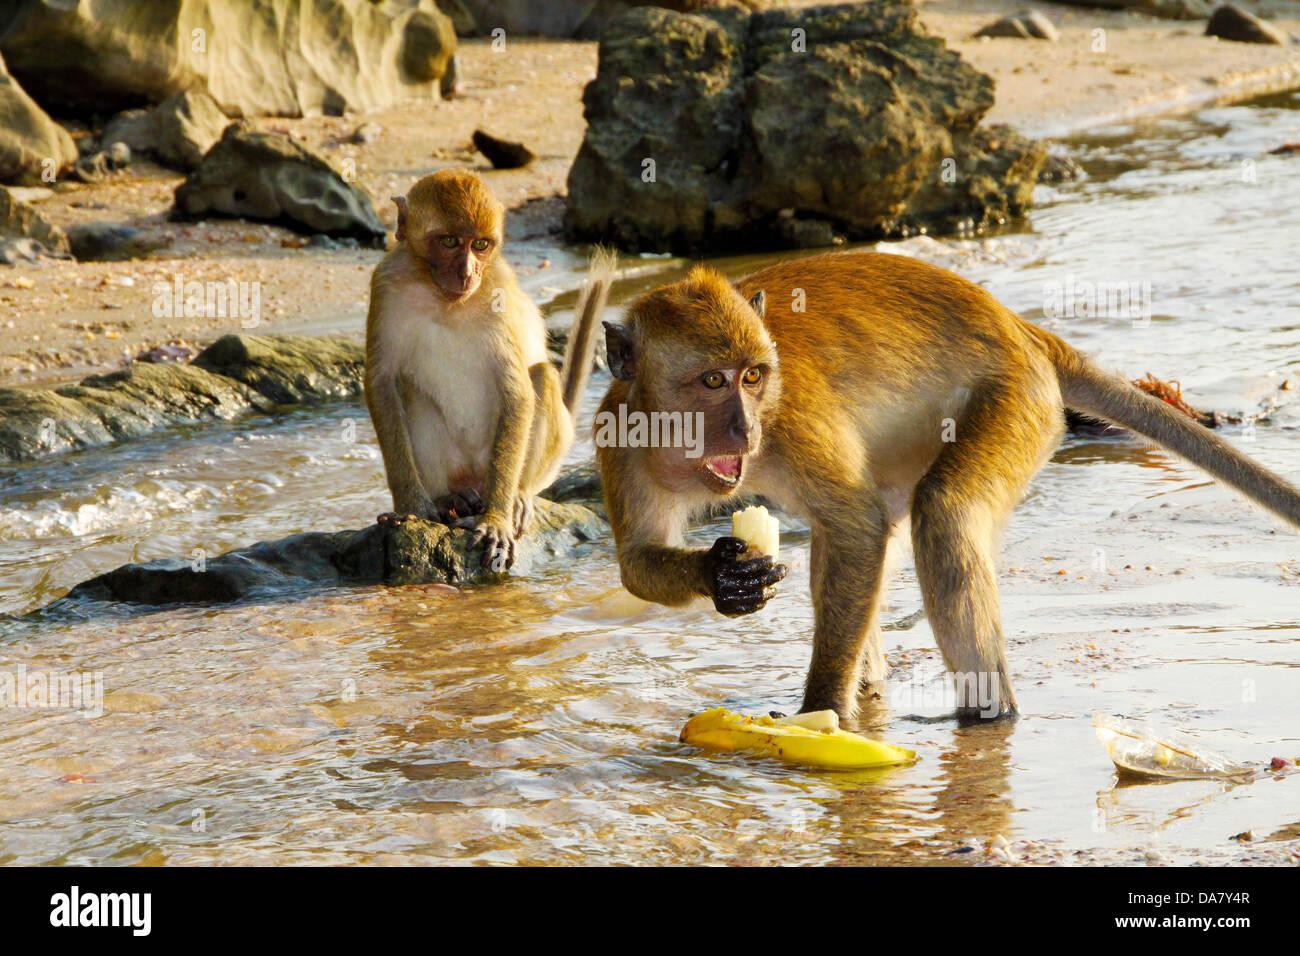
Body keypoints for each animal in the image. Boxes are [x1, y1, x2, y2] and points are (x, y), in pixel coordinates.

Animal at [361, 167, 613, 567]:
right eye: (449, 241)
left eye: (480, 244)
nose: (467, 274)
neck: (445, 299)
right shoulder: (385, 282)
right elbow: (382, 381)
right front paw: (410, 506)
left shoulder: (500, 289)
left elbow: (516, 391)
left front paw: (496, 518)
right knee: (409, 391)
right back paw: (451, 498)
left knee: (541, 377)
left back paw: (516, 496)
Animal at [595, 251, 1300, 723]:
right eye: (712, 381)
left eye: (753, 376)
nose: (744, 430)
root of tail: (1020, 326)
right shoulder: (619, 437)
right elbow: (635, 564)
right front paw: (724, 575)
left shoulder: (789, 416)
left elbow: (858, 525)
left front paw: (821, 711)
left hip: (1018, 400)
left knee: (939, 513)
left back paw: (986, 716)